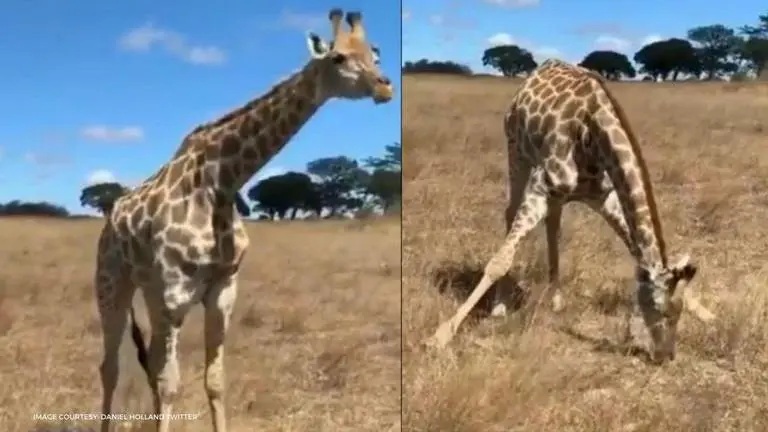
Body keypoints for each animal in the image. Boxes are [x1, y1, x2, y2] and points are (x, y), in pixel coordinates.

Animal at [94, 9, 393, 432]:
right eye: (338, 58)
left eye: (375, 55)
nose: (385, 88)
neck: (222, 180)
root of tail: (110, 219)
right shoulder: (175, 292)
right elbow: (170, 384)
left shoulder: (223, 288)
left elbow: (214, 380)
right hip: (112, 283)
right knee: (111, 367)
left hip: (150, 293)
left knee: (147, 361)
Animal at [425, 59, 715, 364]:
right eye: (662, 311)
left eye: (679, 312)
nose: (666, 356)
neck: (593, 133)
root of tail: (540, 68)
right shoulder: (540, 186)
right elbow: (499, 261)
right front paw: (441, 335)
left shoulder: (603, 196)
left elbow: (634, 245)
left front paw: (705, 311)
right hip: (517, 151)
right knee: (510, 213)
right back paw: (501, 305)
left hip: (556, 191)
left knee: (553, 224)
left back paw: (555, 298)